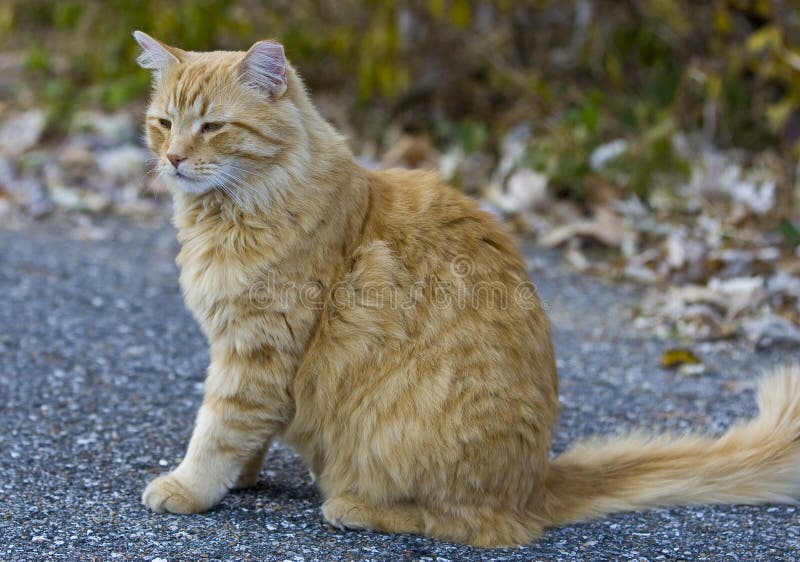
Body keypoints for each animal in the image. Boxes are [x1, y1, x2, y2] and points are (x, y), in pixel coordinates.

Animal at [134, 31, 796, 548]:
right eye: (164, 123)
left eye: (213, 127)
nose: (173, 159)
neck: (234, 212)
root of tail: (536, 484)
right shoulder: (244, 350)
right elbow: (245, 436)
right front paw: (242, 478)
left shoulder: (258, 352)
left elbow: (219, 428)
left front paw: (190, 486)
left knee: (465, 524)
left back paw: (354, 507)